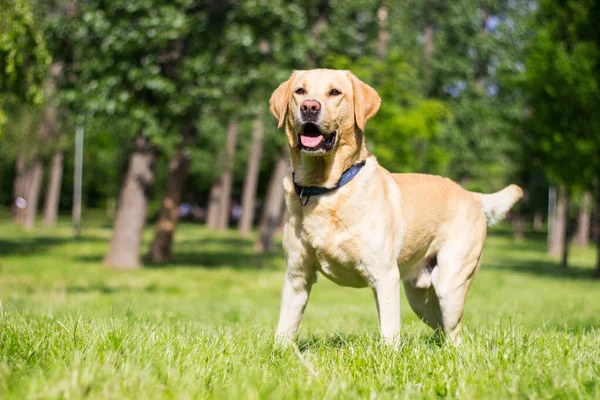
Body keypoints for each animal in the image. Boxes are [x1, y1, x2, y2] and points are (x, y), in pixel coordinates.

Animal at [270, 68, 524, 344]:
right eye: (300, 91)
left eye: (335, 92)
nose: (309, 106)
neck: (325, 189)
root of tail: (472, 195)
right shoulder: (296, 276)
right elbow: (283, 329)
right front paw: (281, 351)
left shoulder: (385, 276)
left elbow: (390, 332)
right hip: (420, 299)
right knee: (441, 330)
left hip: (450, 284)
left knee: (455, 334)